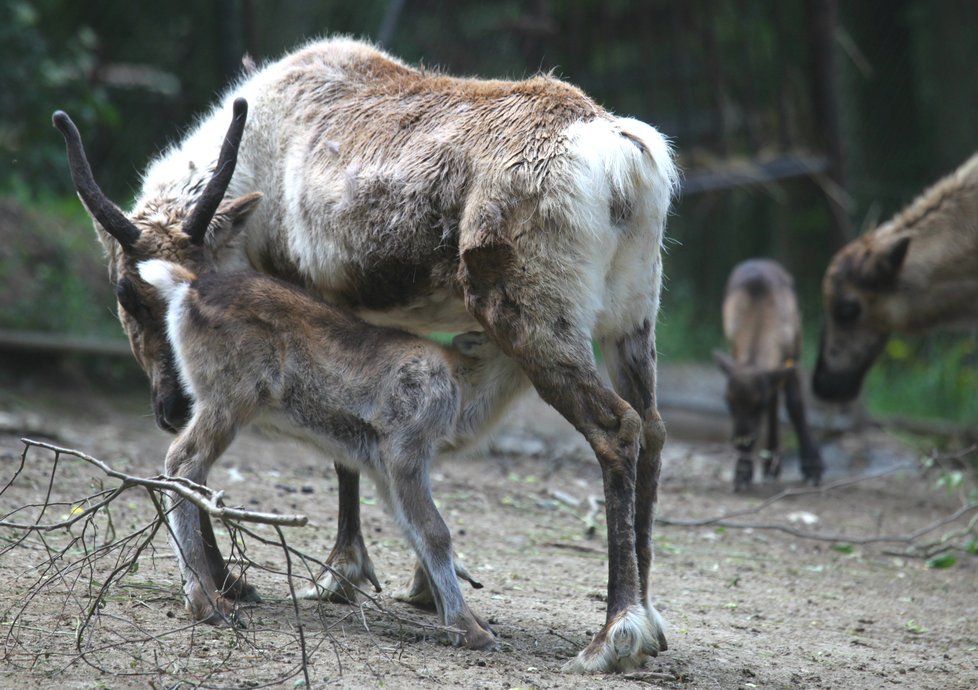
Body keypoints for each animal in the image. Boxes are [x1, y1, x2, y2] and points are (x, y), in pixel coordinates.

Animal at [135, 255, 528, 648]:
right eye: (502, 333)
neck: (463, 396)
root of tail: (185, 286)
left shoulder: (381, 466)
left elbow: (411, 529)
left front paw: (460, 619)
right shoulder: (406, 446)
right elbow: (435, 532)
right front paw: (469, 629)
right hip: (232, 396)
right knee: (183, 459)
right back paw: (208, 604)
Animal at [712, 258, 820, 490]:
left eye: (758, 405)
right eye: (728, 402)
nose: (742, 440)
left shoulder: (792, 353)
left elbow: (796, 406)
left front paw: (813, 467)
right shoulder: (736, 350)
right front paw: (742, 473)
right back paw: (770, 463)